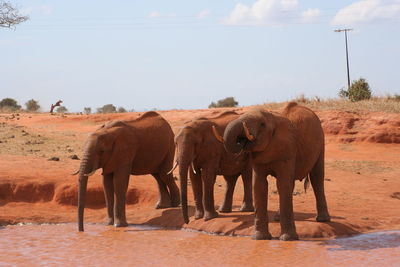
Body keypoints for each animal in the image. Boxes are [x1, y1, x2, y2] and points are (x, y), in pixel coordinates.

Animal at [222, 102, 332, 241]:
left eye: (262, 124)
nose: (242, 140)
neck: (273, 117)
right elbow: (259, 185)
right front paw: (259, 238)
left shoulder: (287, 149)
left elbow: (283, 184)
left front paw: (288, 239)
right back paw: (278, 218)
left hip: (321, 142)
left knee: (317, 178)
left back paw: (323, 220)